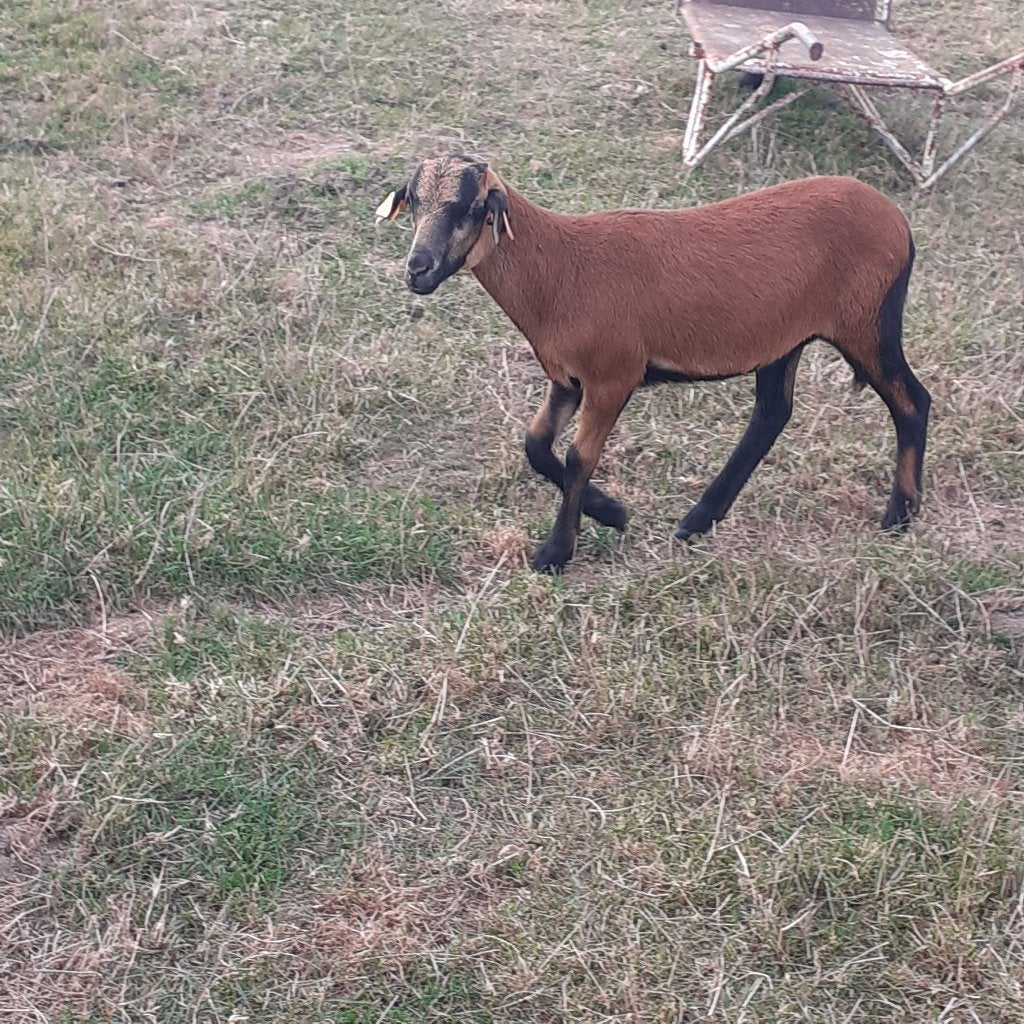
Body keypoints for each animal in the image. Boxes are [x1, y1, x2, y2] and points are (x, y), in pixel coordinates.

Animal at [375, 155, 931, 573]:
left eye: (469, 207)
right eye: (415, 201)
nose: (418, 269)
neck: (556, 270)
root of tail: (899, 221)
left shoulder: (613, 375)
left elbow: (578, 458)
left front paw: (556, 553)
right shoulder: (567, 378)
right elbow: (535, 446)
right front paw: (613, 512)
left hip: (867, 323)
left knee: (913, 402)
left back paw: (899, 516)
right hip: (783, 340)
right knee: (772, 414)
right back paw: (699, 520)